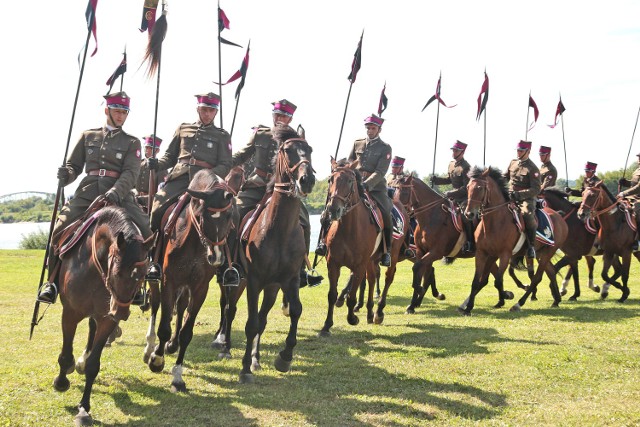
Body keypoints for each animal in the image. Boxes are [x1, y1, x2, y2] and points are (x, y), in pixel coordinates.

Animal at [51, 206, 151, 426]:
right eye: (117, 272)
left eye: (143, 275)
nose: (121, 313)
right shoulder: (70, 314)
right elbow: (65, 355)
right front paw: (61, 382)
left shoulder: (107, 319)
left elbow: (93, 365)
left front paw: (84, 408)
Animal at [144, 169, 236, 392]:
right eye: (203, 216)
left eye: (230, 215)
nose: (216, 258)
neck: (195, 242)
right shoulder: (169, 281)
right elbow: (164, 327)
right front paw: (156, 360)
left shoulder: (199, 288)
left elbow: (186, 331)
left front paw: (177, 376)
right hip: (156, 279)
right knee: (155, 306)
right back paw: (150, 346)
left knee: (180, 307)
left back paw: (172, 345)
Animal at [238, 127, 316, 384]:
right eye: (288, 150)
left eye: (309, 150)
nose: (307, 180)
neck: (279, 229)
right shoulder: (253, 281)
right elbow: (251, 324)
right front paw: (244, 369)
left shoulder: (289, 279)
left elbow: (295, 310)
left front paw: (285, 357)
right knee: (228, 312)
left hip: (272, 289)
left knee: (263, 319)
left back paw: (256, 359)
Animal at [392, 174, 516, 314]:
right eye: (394, 190)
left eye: (404, 191)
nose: (397, 210)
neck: (432, 216)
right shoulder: (421, 252)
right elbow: (421, 274)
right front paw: (412, 305)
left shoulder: (436, 253)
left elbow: (417, 269)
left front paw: (418, 294)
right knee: (492, 276)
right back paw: (501, 299)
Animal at [460, 166, 568, 314]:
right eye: (468, 187)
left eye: (480, 188)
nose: (469, 213)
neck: (494, 222)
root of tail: (559, 216)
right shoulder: (483, 253)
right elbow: (478, 281)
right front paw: (468, 307)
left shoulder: (504, 255)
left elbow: (497, 280)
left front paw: (504, 298)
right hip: (541, 253)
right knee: (551, 272)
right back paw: (556, 300)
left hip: (548, 252)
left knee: (537, 277)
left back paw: (519, 303)